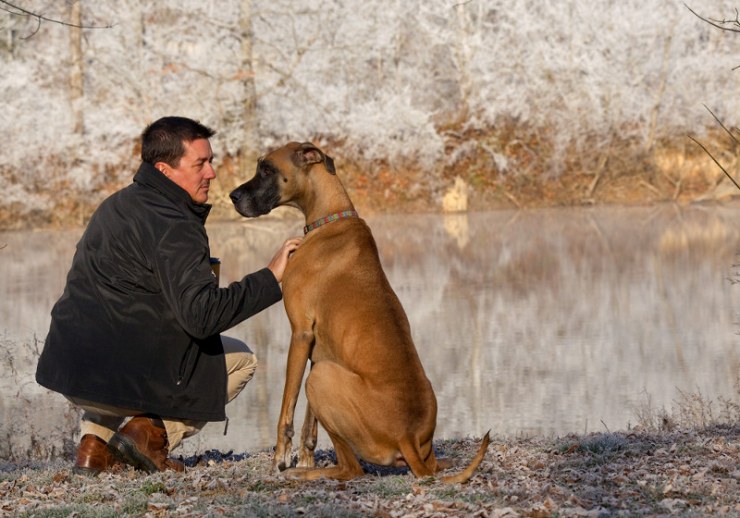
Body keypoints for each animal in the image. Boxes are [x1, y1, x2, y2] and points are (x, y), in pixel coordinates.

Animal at [228, 142, 488, 484]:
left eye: (267, 169)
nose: (232, 196)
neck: (330, 220)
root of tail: (407, 436)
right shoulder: (319, 350)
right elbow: (309, 425)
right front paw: (306, 458)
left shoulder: (301, 335)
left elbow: (287, 407)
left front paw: (280, 460)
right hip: (333, 377)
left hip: (321, 378)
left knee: (353, 469)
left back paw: (303, 473)